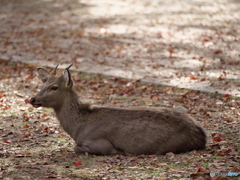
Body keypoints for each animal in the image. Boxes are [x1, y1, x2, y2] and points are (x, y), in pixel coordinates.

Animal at [30, 64, 206, 155]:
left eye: (54, 87)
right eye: (43, 84)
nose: (33, 99)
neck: (77, 129)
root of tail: (202, 134)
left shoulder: (100, 143)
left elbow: (76, 148)